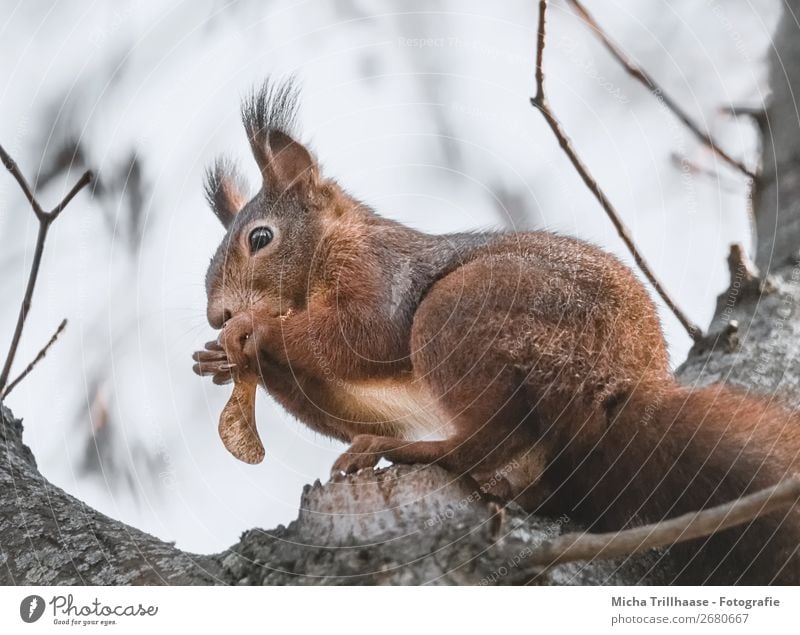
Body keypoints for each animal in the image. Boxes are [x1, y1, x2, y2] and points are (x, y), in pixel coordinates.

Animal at [195, 80, 800, 588]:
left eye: (261, 238)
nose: (217, 315)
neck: (324, 256)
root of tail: (619, 381)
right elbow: (357, 403)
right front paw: (222, 359)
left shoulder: (378, 274)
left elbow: (363, 337)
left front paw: (254, 329)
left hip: (458, 315)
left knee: (491, 436)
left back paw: (412, 451)